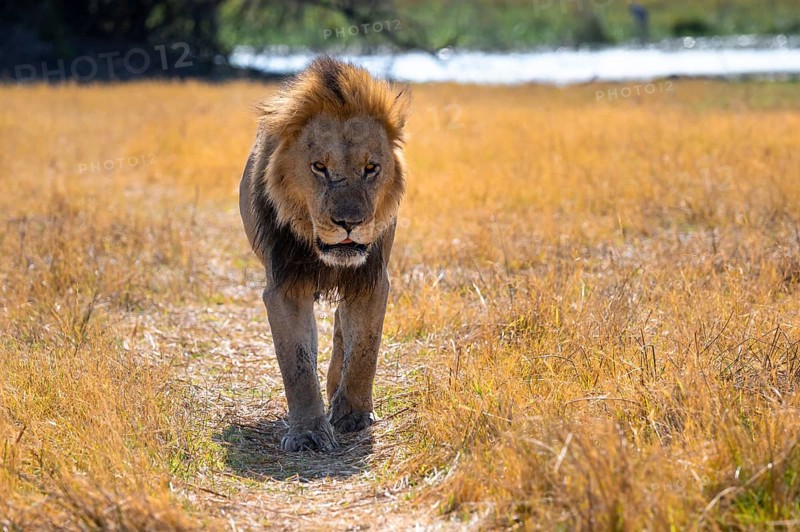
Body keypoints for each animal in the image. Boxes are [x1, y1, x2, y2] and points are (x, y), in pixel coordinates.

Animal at [238, 57, 410, 452]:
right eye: (319, 167)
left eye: (371, 168)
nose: (349, 223)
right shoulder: (284, 288)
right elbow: (297, 363)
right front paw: (308, 433)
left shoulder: (371, 280)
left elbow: (364, 350)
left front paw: (353, 415)